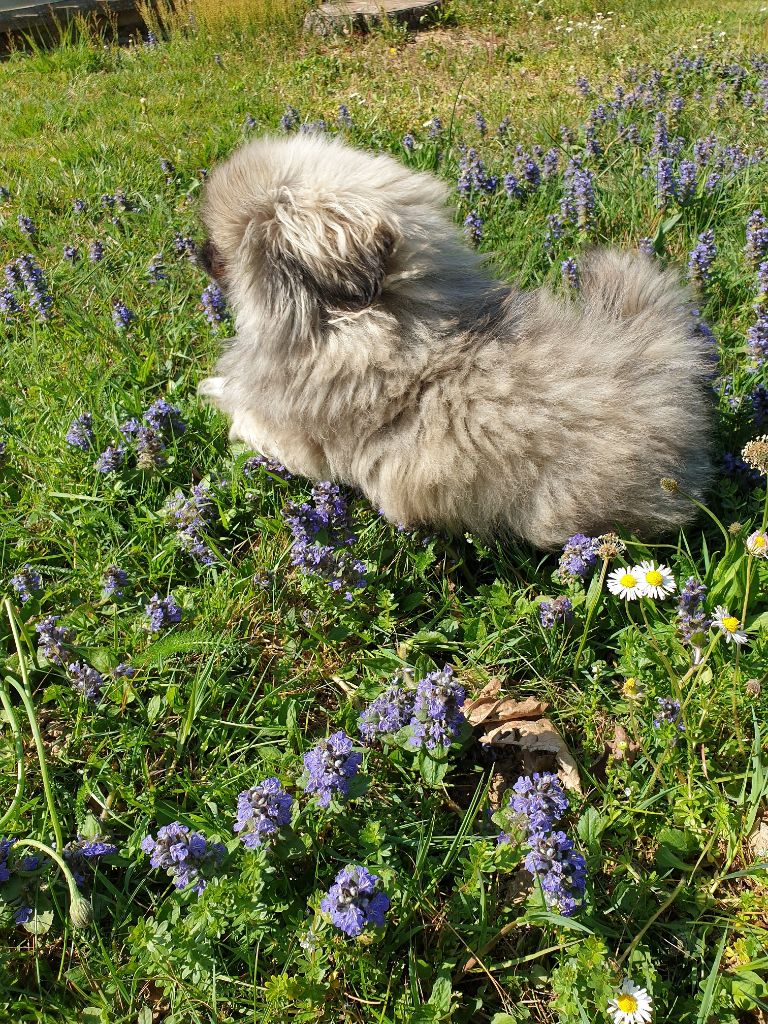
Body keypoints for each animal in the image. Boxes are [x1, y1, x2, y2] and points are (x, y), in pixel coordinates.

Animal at [195, 132, 712, 548]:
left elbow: (242, 414)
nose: (198, 251)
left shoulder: (296, 442)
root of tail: (661, 366)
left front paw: (211, 389)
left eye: (221, 252)